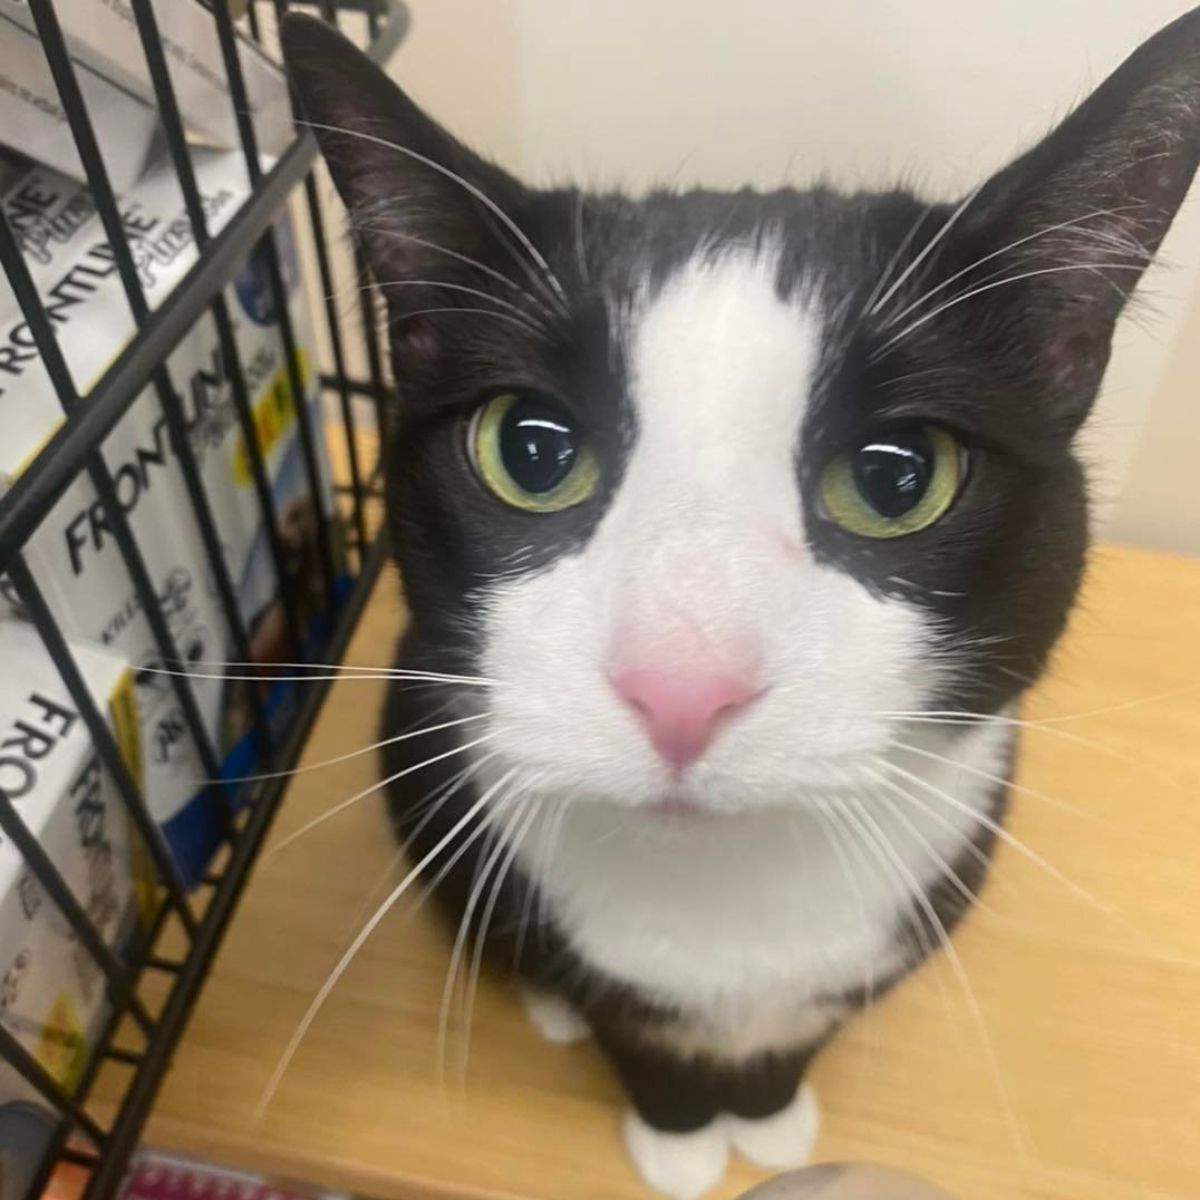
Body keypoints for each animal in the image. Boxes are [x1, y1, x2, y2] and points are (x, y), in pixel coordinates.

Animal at [283, 11, 1200, 1200]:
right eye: (528, 452)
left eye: (900, 479)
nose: (682, 683)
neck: (730, 901)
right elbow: (636, 1027)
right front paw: (677, 1142)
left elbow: (807, 1026)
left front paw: (768, 1119)